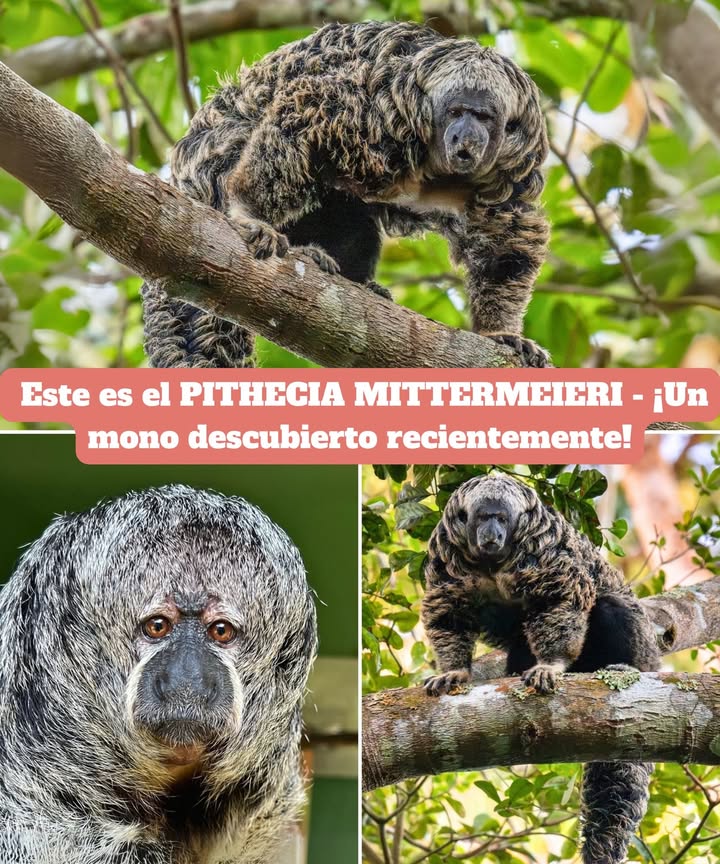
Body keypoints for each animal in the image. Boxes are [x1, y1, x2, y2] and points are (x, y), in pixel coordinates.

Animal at [142, 20, 550, 369]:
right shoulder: (381, 113)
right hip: (210, 168)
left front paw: (499, 331)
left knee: (353, 217)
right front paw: (248, 213)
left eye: (483, 117)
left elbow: (505, 240)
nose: (464, 134)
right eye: (456, 111)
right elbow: (305, 110)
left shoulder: (514, 163)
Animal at [420, 473, 661, 864]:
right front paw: (455, 671)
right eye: (483, 517)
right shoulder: (446, 551)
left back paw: (619, 666)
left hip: (643, 648)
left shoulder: (542, 547)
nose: (492, 533)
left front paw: (552, 664)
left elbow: (561, 596)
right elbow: (448, 609)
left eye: (502, 519)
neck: (493, 562)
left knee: (610, 606)